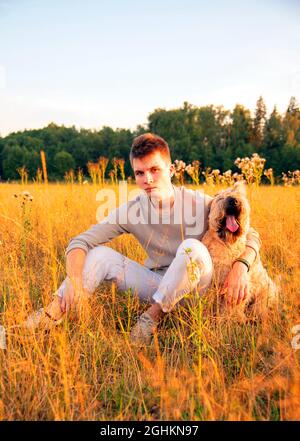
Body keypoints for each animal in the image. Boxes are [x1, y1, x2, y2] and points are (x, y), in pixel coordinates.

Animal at [202, 180, 278, 318]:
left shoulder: (238, 288)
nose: (234, 201)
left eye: (237, 194)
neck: (227, 244)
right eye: (220, 198)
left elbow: (231, 309)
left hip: (265, 295)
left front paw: (230, 319)